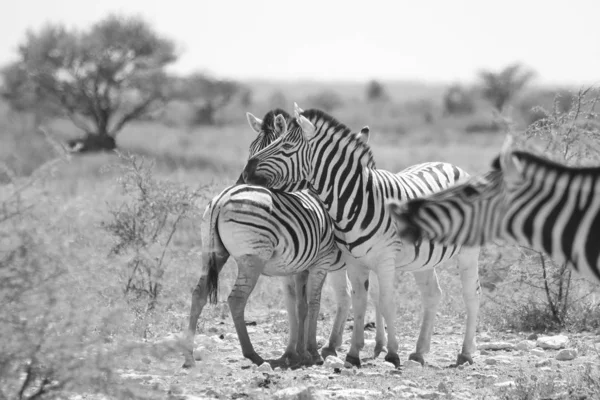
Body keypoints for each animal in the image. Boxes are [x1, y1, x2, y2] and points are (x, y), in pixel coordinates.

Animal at [183, 107, 382, 368]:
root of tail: (220, 200)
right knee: (236, 300)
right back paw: (256, 353)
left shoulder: (300, 266)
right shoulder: (311, 264)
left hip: (213, 253)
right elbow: (307, 304)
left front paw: (297, 352)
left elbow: (299, 306)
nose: (244, 178)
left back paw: (189, 354)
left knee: (199, 294)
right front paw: (305, 352)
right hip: (253, 258)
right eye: (251, 148)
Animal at [241, 104, 480, 368]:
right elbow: (349, 302)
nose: (244, 176)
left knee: (471, 295)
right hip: (423, 259)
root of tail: (452, 166)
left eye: (286, 147)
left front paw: (392, 353)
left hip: (467, 252)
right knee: (432, 295)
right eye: (252, 147)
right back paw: (418, 351)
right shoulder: (351, 262)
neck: (356, 200)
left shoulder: (383, 260)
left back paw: (465, 353)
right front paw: (346, 353)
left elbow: (385, 302)